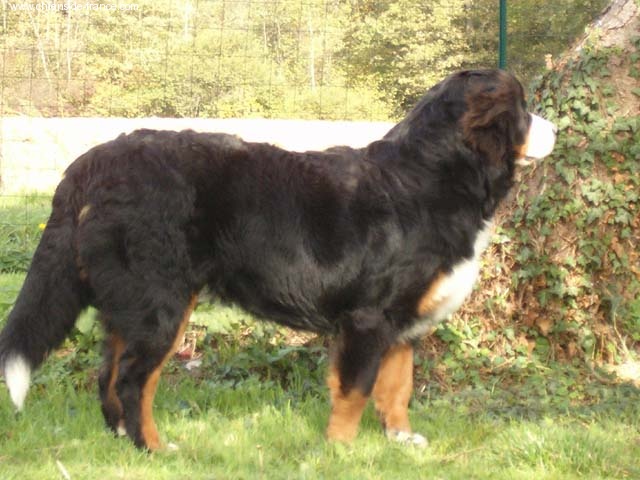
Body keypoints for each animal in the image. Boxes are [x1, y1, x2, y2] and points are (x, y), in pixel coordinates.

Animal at [0, 70, 556, 450]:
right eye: (523, 110)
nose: (555, 129)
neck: (432, 177)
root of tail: (93, 162)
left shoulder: (401, 322)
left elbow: (397, 387)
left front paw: (400, 440)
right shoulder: (367, 317)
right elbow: (356, 388)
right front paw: (342, 450)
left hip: (131, 304)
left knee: (108, 376)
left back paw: (122, 441)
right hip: (161, 304)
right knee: (134, 380)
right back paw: (153, 447)